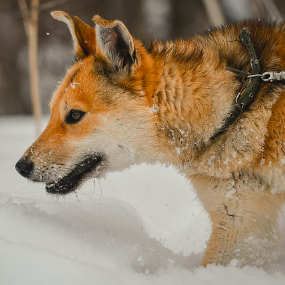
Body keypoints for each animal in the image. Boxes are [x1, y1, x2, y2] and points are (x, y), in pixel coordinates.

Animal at [15, 11, 284, 266]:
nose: (20, 167)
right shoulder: (241, 220)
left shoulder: (236, 224)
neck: (237, 105)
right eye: (51, 112)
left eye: (74, 115)